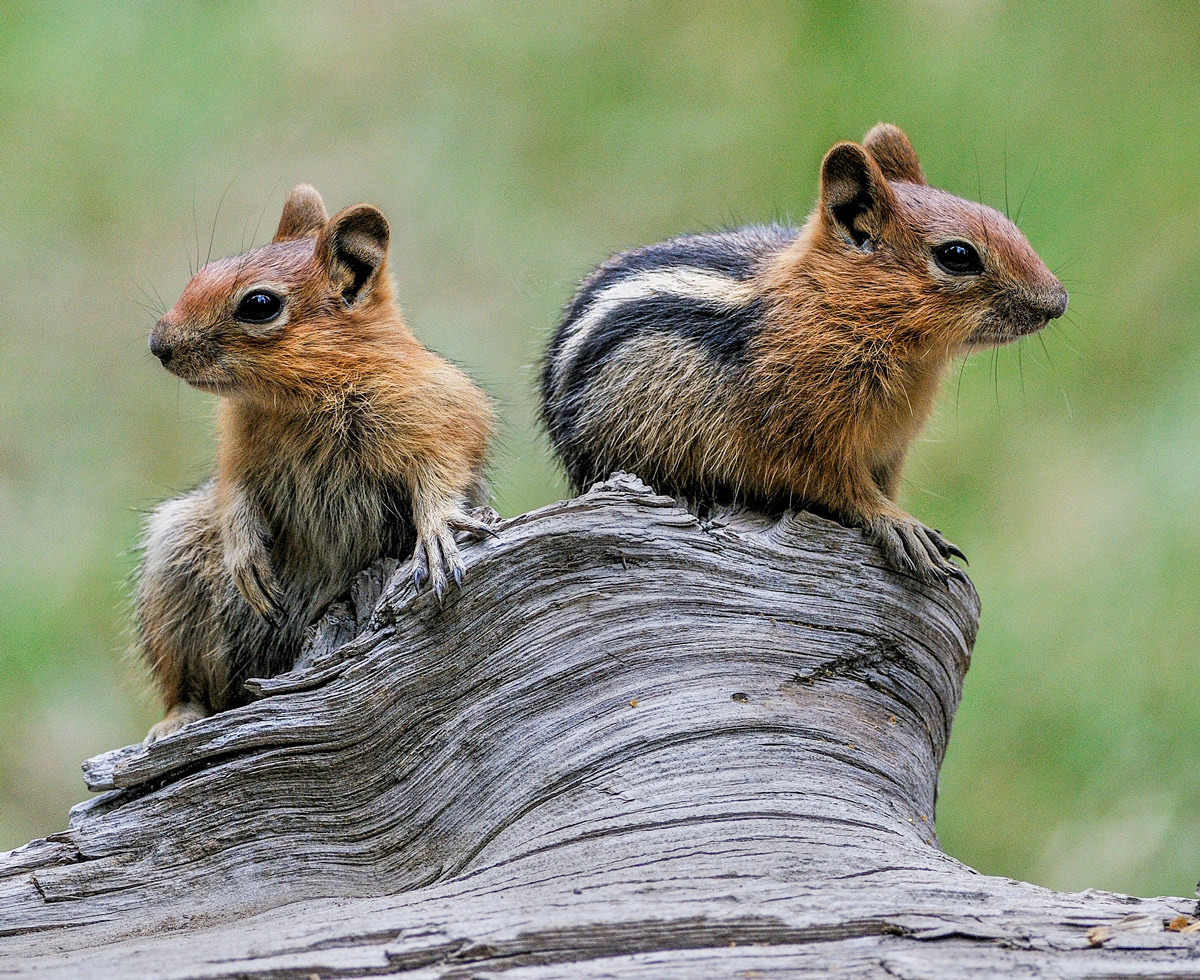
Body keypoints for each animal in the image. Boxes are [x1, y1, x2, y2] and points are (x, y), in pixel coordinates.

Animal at [137, 185, 494, 742]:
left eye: (259, 304)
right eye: (205, 271)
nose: (158, 344)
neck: (301, 399)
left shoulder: (442, 418)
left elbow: (442, 475)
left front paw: (437, 532)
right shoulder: (236, 452)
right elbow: (234, 493)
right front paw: (244, 553)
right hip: (175, 571)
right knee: (191, 685)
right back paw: (179, 718)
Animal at [540, 124, 1067, 583]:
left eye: (1001, 220)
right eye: (957, 256)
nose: (1057, 302)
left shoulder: (889, 450)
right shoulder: (804, 436)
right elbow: (842, 488)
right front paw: (898, 523)